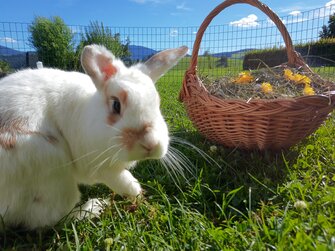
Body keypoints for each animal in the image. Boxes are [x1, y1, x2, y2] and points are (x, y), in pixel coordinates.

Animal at [0, 43, 189, 229]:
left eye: (157, 103)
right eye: (116, 105)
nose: (150, 144)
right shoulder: (98, 166)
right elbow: (122, 180)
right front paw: (137, 192)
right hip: (52, 170)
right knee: (53, 218)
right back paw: (95, 206)